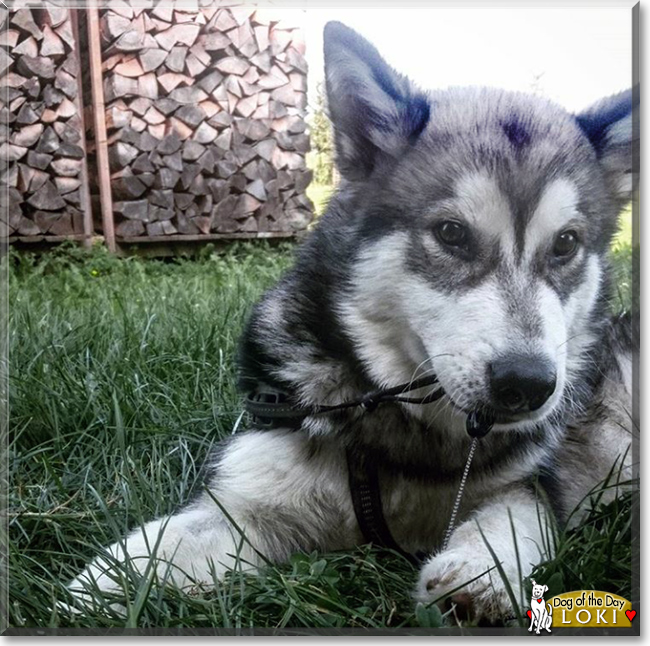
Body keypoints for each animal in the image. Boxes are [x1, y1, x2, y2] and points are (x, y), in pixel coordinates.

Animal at [68, 22, 636, 624]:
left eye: (566, 244)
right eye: (451, 233)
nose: (527, 383)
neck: (408, 433)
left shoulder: (534, 483)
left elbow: (517, 518)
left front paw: (479, 573)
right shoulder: (253, 495)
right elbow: (153, 549)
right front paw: (87, 591)